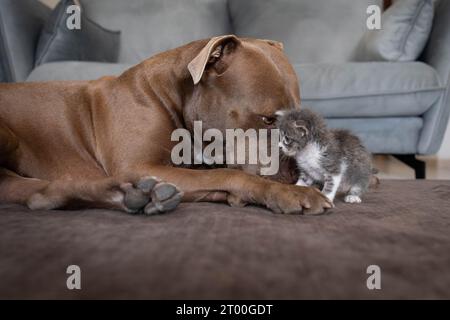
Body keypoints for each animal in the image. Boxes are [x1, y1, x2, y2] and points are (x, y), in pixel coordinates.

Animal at [0, 35, 330, 215]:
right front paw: (291, 194)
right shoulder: (139, 165)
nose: (297, 174)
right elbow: (230, 175)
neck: (172, 95)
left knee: (40, 194)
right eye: (267, 119)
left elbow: (215, 175)